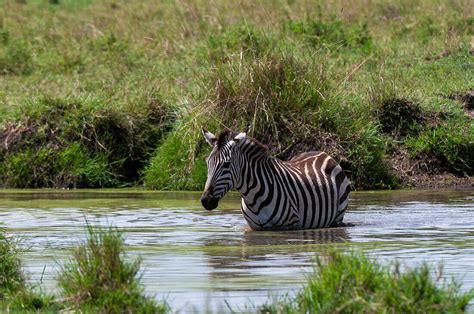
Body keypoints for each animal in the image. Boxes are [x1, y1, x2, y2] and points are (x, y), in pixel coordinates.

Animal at [198, 127, 350, 231]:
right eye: (207, 163)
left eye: (226, 164)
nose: (206, 201)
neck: (252, 198)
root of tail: (322, 152)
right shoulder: (254, 228)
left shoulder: (291, 225)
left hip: (338, 216)